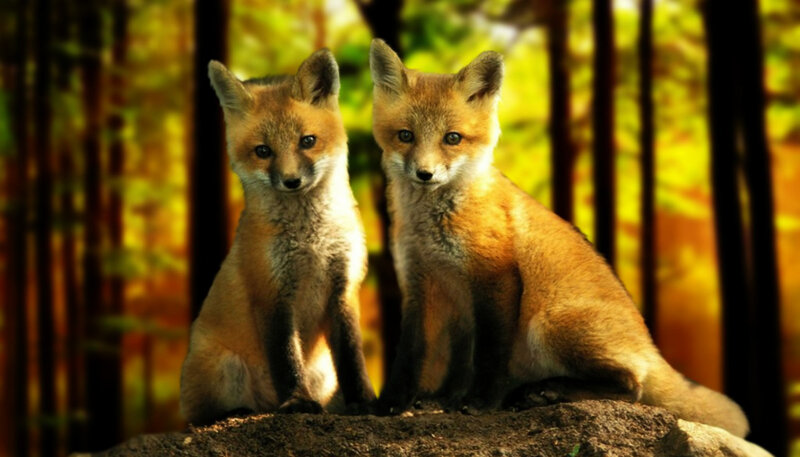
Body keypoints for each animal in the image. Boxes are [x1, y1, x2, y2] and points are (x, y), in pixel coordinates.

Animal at [180, 49, 375, 425]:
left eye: (307, 141)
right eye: (263, 151)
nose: (291, 181)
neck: (312, 241)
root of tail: (265, 405)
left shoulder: (343, 288)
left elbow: (353, 357)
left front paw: (365, 402)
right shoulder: (272, 292)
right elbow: (285, 358)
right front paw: (298, 402)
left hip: (323, 373)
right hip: (223, 368)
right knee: (199, 416)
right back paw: (236, 413)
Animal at [368, 38, 749, 438]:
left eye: (452, 138)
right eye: (405, 135)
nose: (424, 174)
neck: (432, 225)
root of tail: (650, 345)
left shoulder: (496, 277)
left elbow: (489, 354)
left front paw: (481, 403)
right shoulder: (419, 283)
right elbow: (411, 352)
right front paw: (395, 403)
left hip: (548, 324)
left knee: (632, 386)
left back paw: (544, 392)